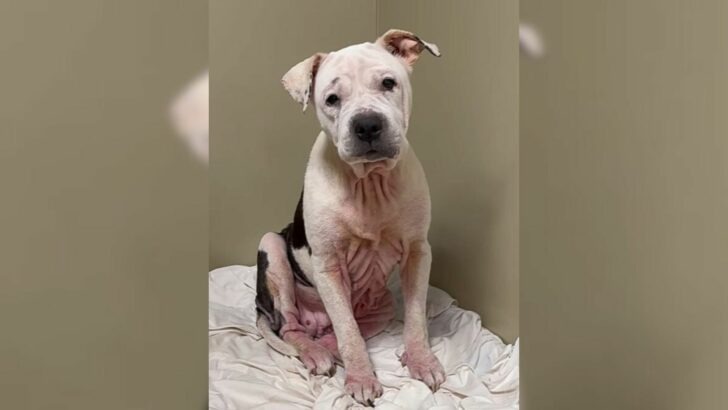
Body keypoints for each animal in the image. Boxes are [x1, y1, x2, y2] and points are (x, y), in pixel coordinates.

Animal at [256, 29, 444, 406]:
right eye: (331, 99)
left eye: (388, 83)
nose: (367, 124)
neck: (369, 181)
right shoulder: (328, 265)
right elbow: (348, 330)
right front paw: (360, 379)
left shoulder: (418, 252)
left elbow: (415, 316)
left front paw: (421, 360)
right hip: (272, 249)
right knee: (294, 327)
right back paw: (315, 352)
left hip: (381, 307)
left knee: (342, 333)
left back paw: (328, 349)